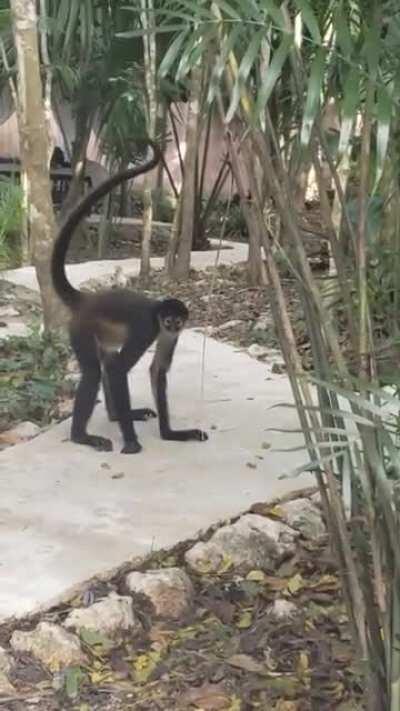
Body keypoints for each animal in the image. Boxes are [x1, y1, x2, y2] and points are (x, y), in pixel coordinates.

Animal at [51, 141, 208, 454]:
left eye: (177, 322)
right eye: (167, 319)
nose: (172, 326)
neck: (158, 313)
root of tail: (87, 299)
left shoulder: (169, 335)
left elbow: (157, 371)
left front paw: (171, 434)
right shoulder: (148, 327)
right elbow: (118, 370)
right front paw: (132, 441)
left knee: (106, 361)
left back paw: (115, 416)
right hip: (81, 329)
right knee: (96, 371)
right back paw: (82, 436)